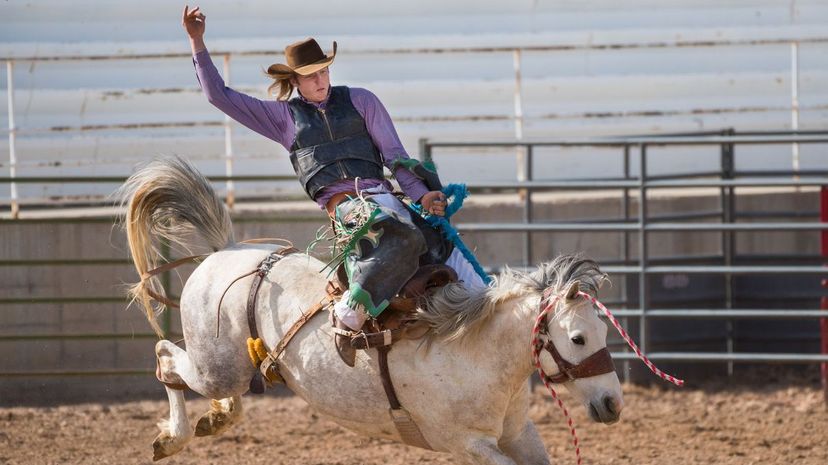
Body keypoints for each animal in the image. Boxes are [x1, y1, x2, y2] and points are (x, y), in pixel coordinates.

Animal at [118, 158, 620, 462]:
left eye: (605, 334)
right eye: (577, 338)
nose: (613, 404)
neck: (478, 355)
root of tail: (228, 249)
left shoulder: (519, 435)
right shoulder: (469, 445)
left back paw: (217, 416)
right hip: (215, 366)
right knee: (166, 358)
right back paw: (173, 436)